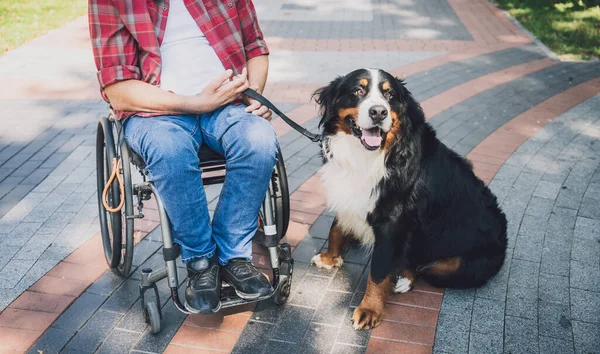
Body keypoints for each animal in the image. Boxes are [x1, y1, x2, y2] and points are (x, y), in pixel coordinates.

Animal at [310, 68, 506, 330]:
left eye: (389, 95)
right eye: (358, 91)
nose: (378, 112)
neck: (367, 156)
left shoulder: (392, 221)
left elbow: (379, 270)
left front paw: (370, 309)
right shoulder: (350, 193)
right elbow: (336, 228)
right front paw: (330, 257)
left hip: (456, 266)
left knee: (422, 266)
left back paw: (404, 277)